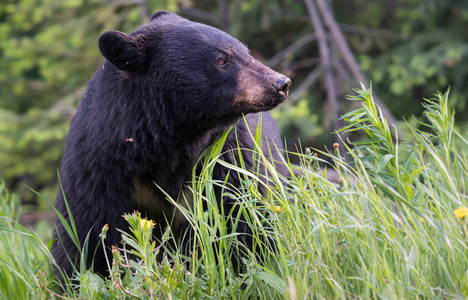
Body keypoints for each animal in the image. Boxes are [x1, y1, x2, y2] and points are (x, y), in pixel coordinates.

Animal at [53, 9, 290, 278]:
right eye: (222, 60)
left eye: (246, 51)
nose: (281, 83)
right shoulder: (98, 170)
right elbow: (84, 234)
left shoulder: (229, 157)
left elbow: (244, 218)